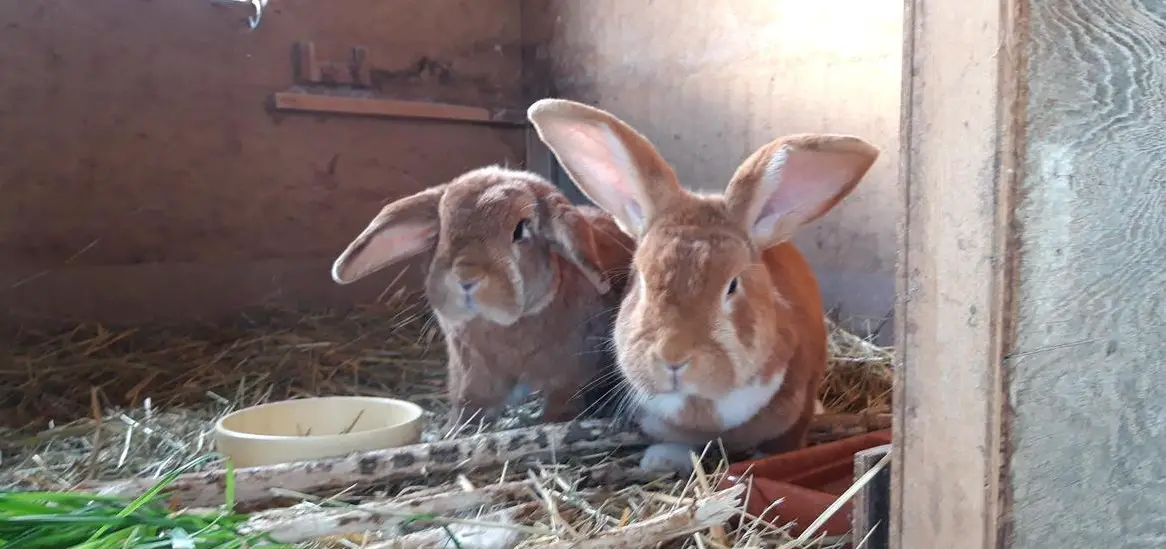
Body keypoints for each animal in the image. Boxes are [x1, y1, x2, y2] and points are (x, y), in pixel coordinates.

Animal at [330, 165, 635, 428]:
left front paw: (553, 421)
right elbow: (471, 403)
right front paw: (454, 429)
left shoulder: (571, 373)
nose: (466, 277)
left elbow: (562, 401)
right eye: (442, 229)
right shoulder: (471, 371)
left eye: (521, 229)